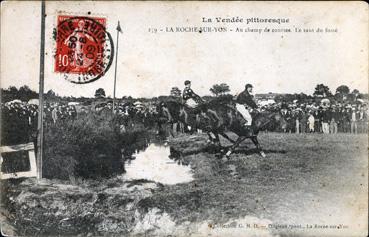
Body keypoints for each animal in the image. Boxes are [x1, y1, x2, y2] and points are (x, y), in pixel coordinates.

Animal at [157, 95, 286, 158]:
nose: (286, 126)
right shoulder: (244, 135)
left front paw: (263, 154)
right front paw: (227, 153)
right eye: (281, 117)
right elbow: (235, 144)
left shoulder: (251, 135)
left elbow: (257, 145)